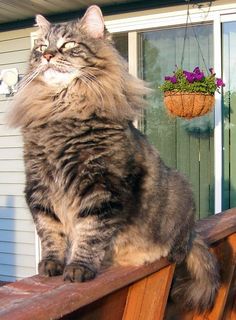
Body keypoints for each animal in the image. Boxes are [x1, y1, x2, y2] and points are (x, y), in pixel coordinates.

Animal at [7, 5, 219, 312]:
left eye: (68, 45)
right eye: (41, 47)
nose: (47, 56)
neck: (61, 110)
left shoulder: (101, 188)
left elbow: (90, 232)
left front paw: (78, 268)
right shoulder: (40, 186)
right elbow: (50, 231)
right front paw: (51, 265)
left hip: (181, 190)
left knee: (182, 244)